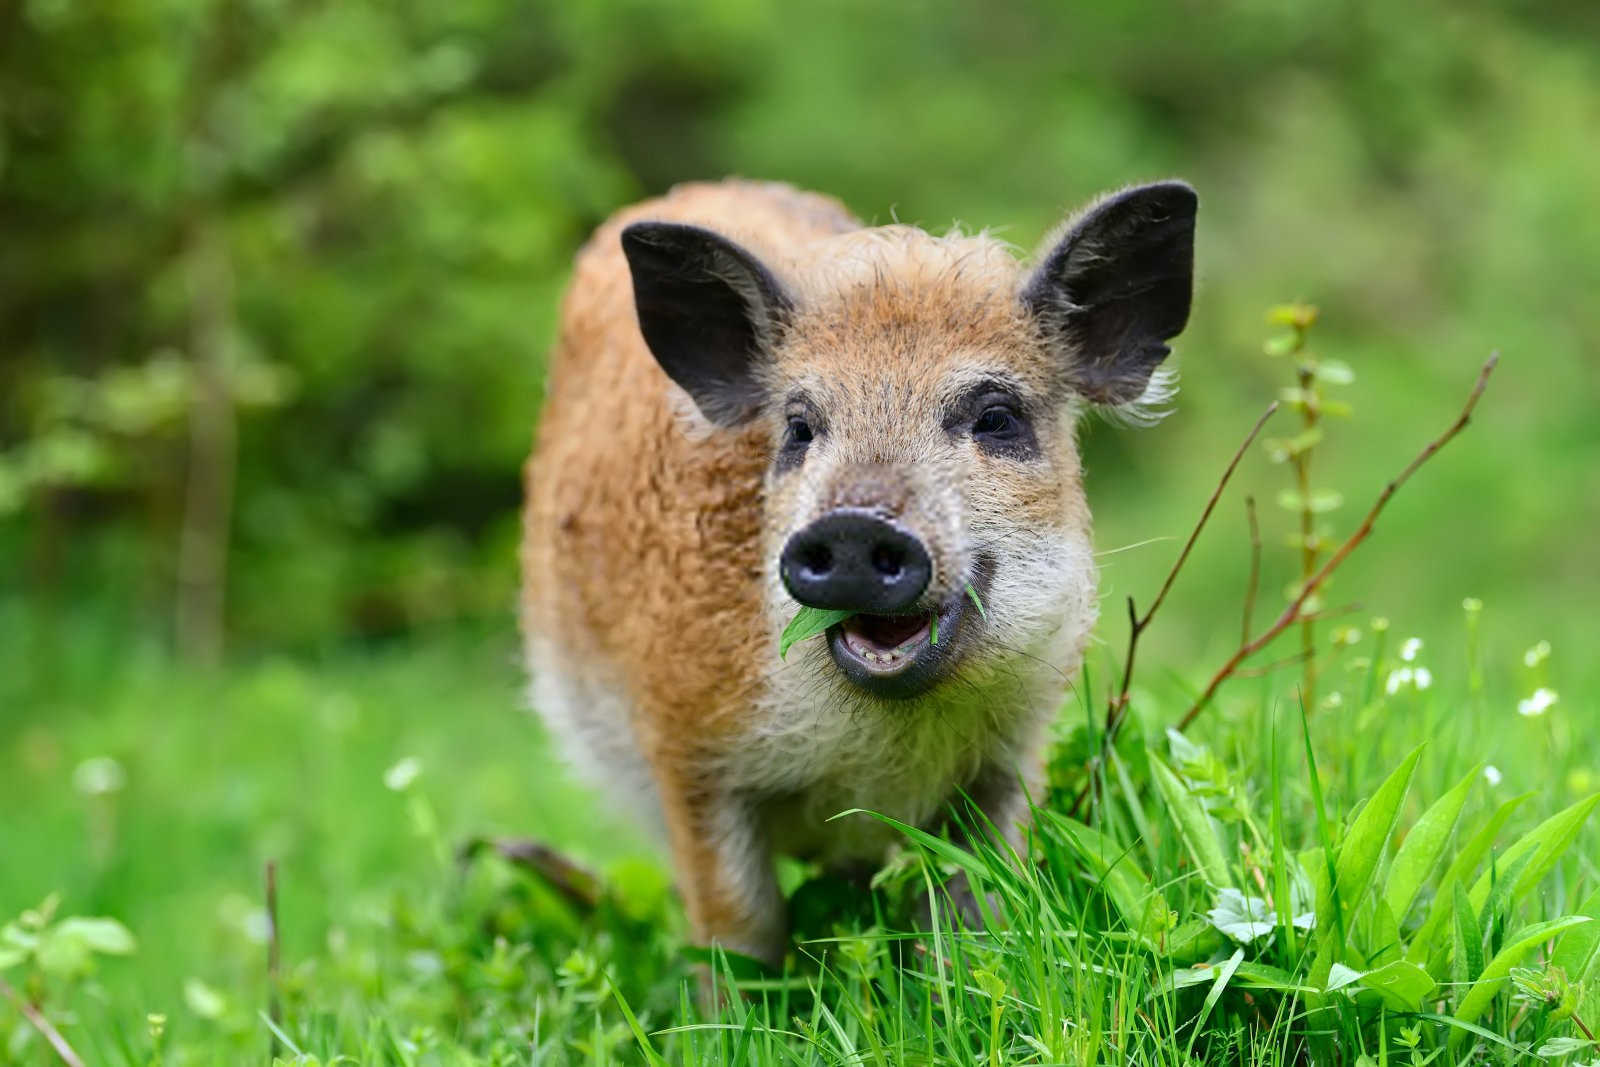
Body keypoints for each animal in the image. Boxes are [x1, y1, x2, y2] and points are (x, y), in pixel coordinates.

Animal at [518, 177, 1196, 966]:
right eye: (800, 427)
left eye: (996, 417)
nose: (853, 524)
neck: (873, 757)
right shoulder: (684, 750)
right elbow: (738, 925)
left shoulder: (1017, 749)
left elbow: (978, 908)